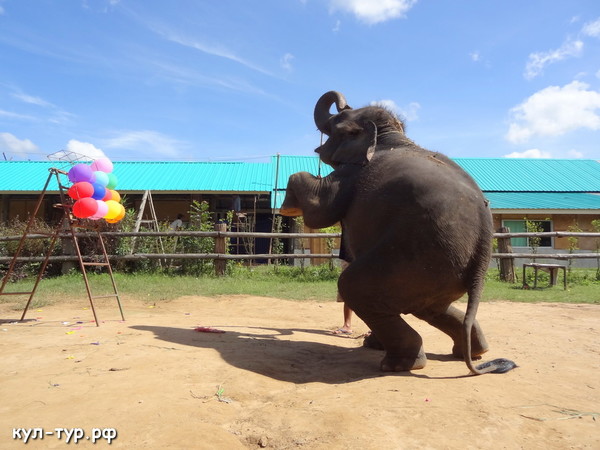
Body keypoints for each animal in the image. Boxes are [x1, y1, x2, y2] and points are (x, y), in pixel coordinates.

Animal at [282, 89, 516, 374]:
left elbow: (320, 211)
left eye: (337, 123)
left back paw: (400, 363)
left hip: (416, 256)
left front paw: (288, 209)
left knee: (356, 287)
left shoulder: (350, 175)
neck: (389, 136)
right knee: (432, 308)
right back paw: (473, 352)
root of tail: (484, 237)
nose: (342, 102)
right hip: (442, 269)